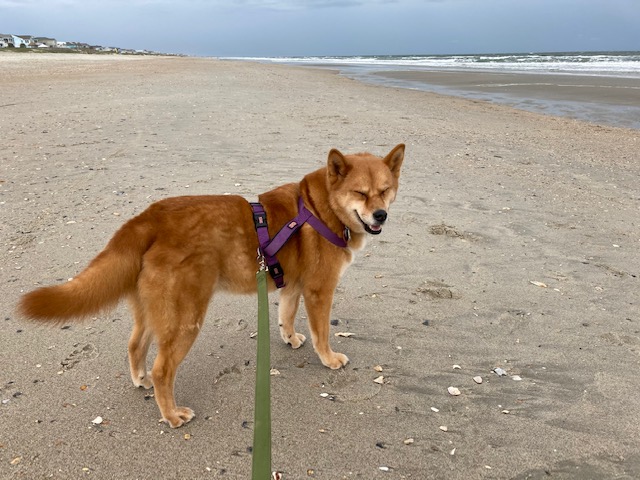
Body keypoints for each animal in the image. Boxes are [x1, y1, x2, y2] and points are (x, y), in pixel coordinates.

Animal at [18, 143, 404, 428]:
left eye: (385, 191)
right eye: (360, 192)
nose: (381, 215)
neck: (318, 207)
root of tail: (147, 219)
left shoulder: (293, 286)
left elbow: (287, 316)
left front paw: (290, 337)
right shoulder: (319, 290)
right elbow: (322, 331)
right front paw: (328, 359)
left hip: (153, 311)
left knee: (135, 346)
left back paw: (140, 379)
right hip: (185, 319)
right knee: (163, 369)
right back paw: (172, 414)